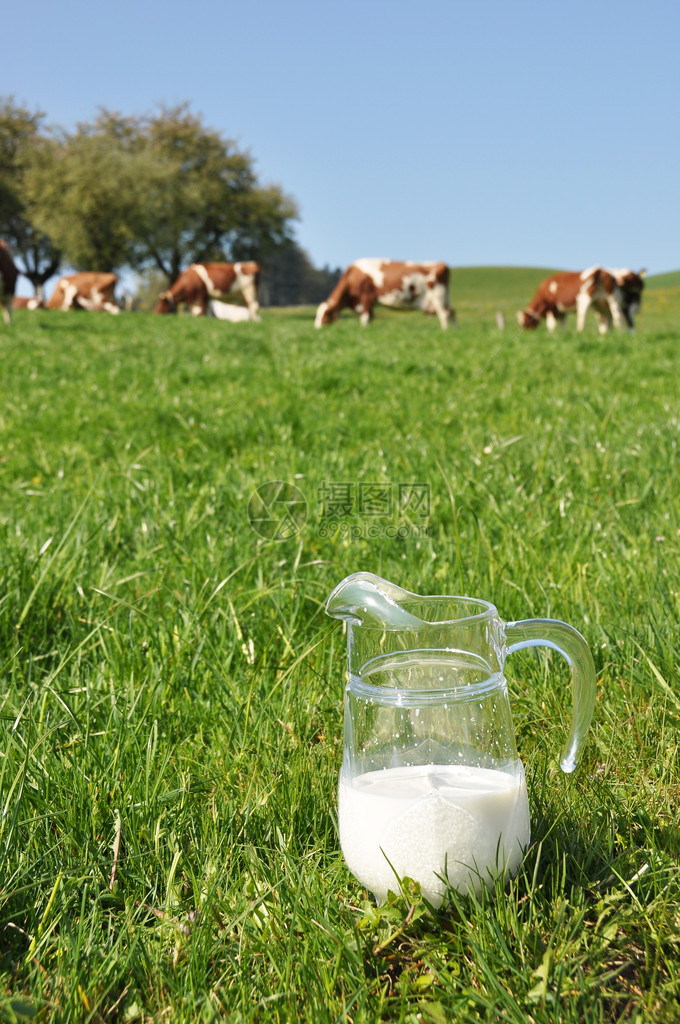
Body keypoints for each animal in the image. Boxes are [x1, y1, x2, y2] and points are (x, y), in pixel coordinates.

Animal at [315, 258, 454, 329]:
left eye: (325, 315)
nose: (317, 327)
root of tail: (442, 264)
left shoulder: (366, 297)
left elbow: (365, 317)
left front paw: (364, 329)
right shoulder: (369, 303)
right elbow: (370, 317)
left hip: (438, 296)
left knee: (444, 315)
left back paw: (445, 331)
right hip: (445, 297)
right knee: (452, 313)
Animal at [518, 266, 647, 333]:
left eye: (525, 321)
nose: (526, 332)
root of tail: (599, 270)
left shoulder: (551, 307)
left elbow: (551, 325)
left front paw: (551, 335)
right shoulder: (561, 311)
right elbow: (562, 324)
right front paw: (561, 335)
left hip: (589, 298)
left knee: (585, 315)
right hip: (604, 303)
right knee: (607, 321)